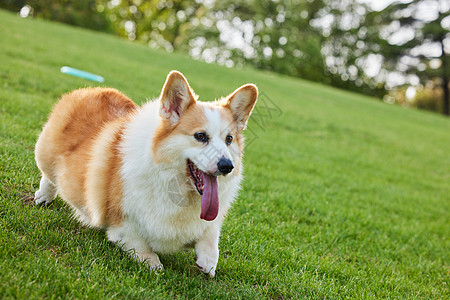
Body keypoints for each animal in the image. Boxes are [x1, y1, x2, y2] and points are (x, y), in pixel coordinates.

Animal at [33, 70, 258, 276]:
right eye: (200, 136)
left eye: (229, 139)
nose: (227, 166)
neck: (179, 190)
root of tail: (92, 90)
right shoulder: (122, 222)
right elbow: (139, 244)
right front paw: (153, 264)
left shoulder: (208, 223)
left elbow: (211, 236)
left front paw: (208, 261)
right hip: (45, 154)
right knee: (50, 177)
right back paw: (43, 197)